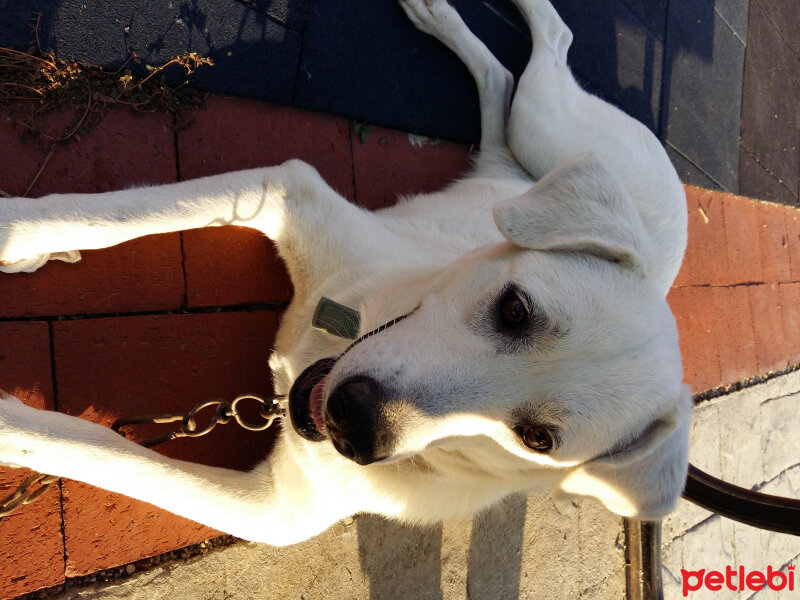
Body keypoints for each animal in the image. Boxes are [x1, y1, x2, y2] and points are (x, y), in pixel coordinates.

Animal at [0, 0, 688, 544]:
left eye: (538, 440)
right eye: (515, 310)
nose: (352, 424)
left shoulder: (272, 512)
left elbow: (110, 455)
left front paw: (13, 427)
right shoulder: (289, 191)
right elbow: (109, 214)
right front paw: (17, 231)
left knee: (512, 75)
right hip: (541, 128)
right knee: (540, 52)